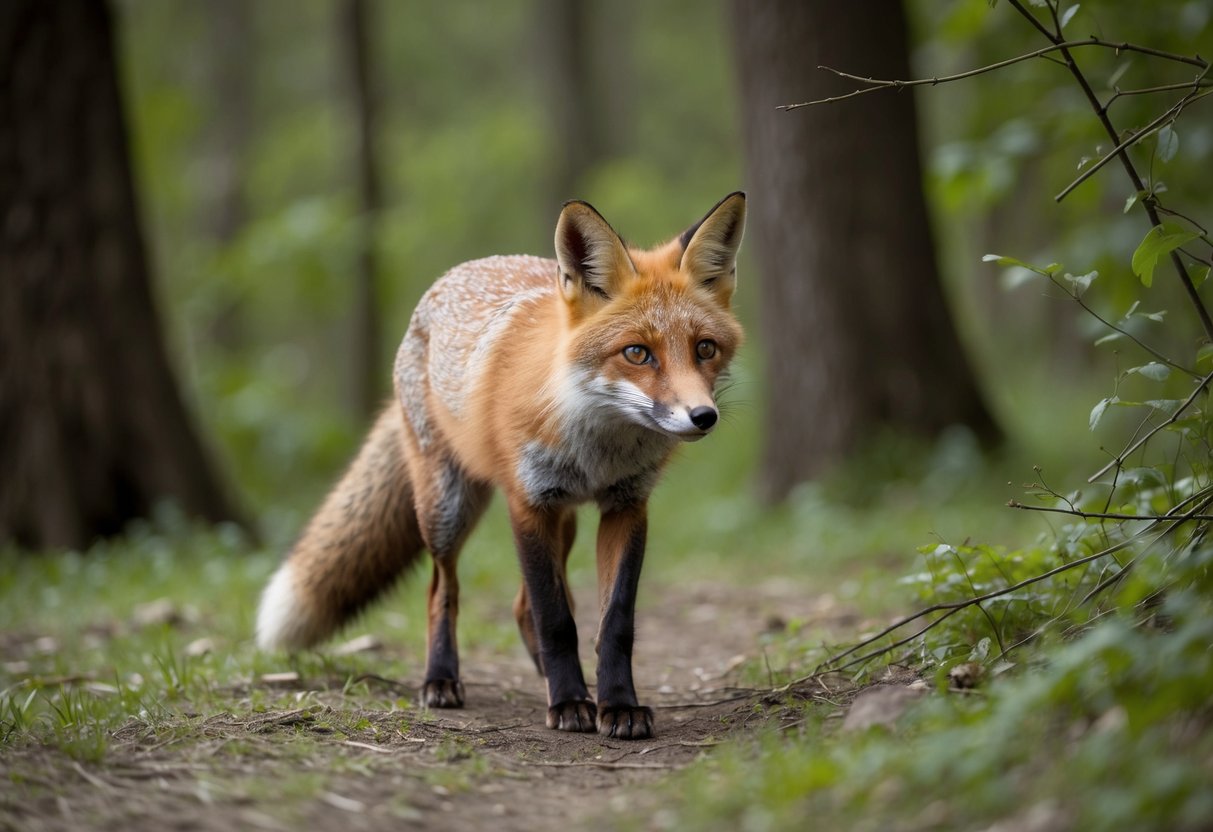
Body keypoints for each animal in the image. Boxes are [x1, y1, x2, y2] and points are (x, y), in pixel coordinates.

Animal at [256, 192, 746, 740]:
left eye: (705, 348)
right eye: (637, 353)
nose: (703, 416)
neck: (596, 445)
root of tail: (452, 275)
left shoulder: (625, 505)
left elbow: (613, 622)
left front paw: (617, 704)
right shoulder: (526, 503)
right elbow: (557, 619)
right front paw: (570, 703)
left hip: (564, 520)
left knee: (521, 605)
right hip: (447, 508)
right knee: (441, 589)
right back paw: (442, 680)